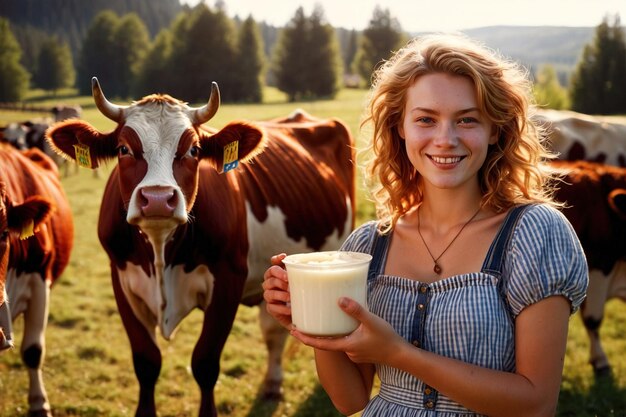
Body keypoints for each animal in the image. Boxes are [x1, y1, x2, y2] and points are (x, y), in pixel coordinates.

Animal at [46, 78, 354, 416]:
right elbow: (146, 362)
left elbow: (205, 363)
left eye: (193, 150)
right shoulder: (122, 281)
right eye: (123, 149)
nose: (157, 199)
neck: (160, 253)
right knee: (272, 330)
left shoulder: (228, 281)